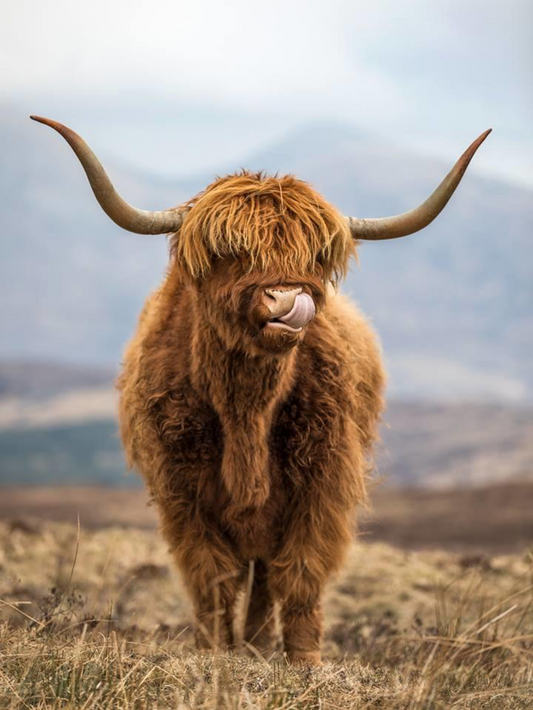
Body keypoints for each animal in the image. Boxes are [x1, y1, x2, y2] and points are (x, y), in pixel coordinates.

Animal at [31, 115, 490, 663]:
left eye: (314, 256)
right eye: (230, 252)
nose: (286, 299)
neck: (246, 407)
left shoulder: (322, 486)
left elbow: (300, 577)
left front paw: (303, 664)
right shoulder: (181, 492)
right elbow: (212, 578)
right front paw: (213, 654)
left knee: (269, 576)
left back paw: (256, 646)